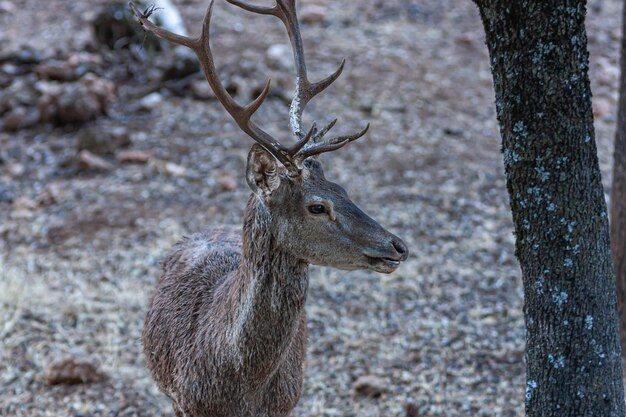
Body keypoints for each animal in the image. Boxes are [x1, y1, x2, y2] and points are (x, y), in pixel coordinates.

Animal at [129, 1, 408, 414]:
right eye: (317, 207)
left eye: (343, 189)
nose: (397, 246)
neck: (240, 385)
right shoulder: (185, 401)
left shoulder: (289, 401)